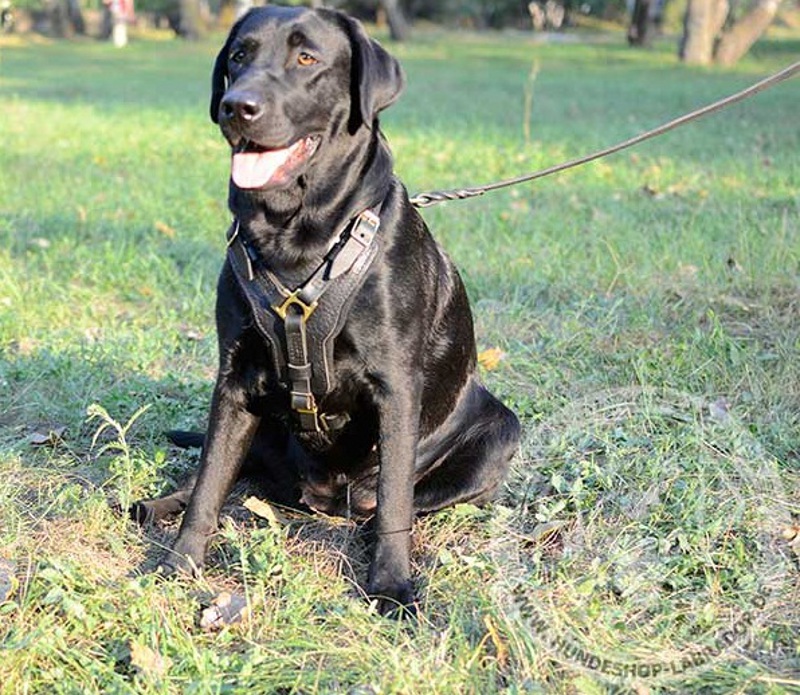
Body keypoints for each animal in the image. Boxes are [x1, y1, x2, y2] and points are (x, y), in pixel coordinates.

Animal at [133, 4, 520, 616]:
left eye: (307, 57)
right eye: (239, 55)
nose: (237, 105)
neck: (296, 236)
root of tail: (324, 499)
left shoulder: (395, 387)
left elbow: (394, 501)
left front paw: (390, 584)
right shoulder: (234, 380)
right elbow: (211, 477)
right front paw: (180, 564)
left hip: (501, 431)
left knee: (389, 503)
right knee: (231, 474)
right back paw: (156, 505)